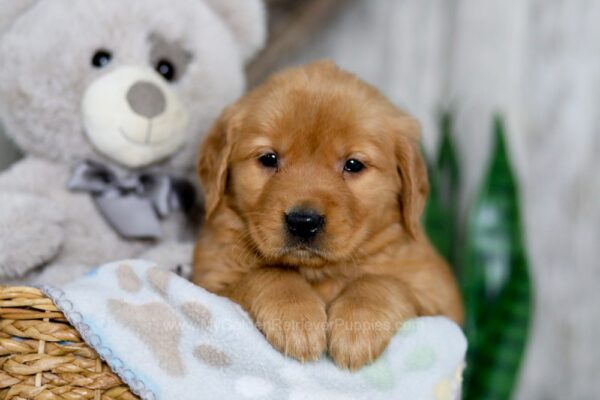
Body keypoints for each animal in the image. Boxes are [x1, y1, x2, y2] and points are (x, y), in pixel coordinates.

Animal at [193, 61, 464, 370]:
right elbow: (268, 274)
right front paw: (296, 317)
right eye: (269, 158)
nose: (303, 222)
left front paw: (357, 327)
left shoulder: (439, 298)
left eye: (354, 164)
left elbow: (381, 282)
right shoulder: (210, 281)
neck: (319, 273)